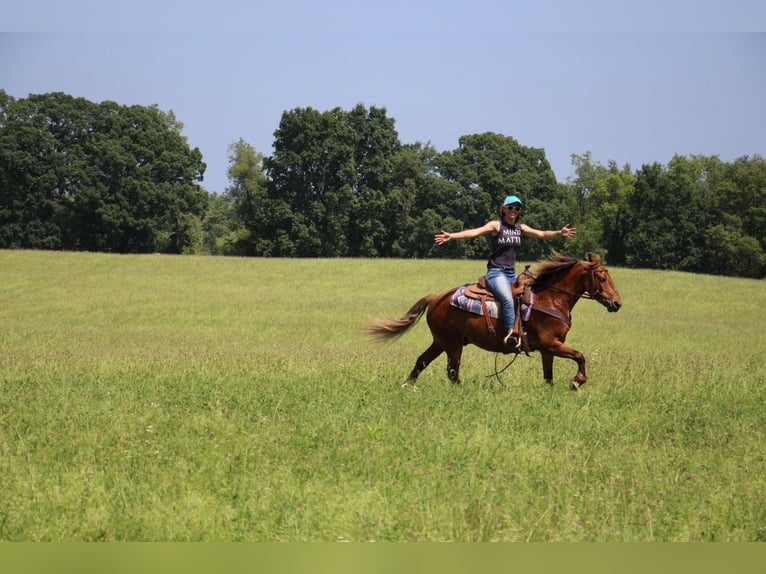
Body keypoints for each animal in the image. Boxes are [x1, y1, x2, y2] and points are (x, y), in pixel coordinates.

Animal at [368, 253, 624, 392]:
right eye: (602, 277)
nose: (617, 303)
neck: (551, 298)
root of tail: (436, 298)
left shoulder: (548, 349)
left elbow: (548, 376)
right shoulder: (551, 344)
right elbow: (580, 356)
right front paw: (577, 381)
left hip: (440, 342)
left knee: (422, 362)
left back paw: (407, 387)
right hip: (453, 344)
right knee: (452, 371)